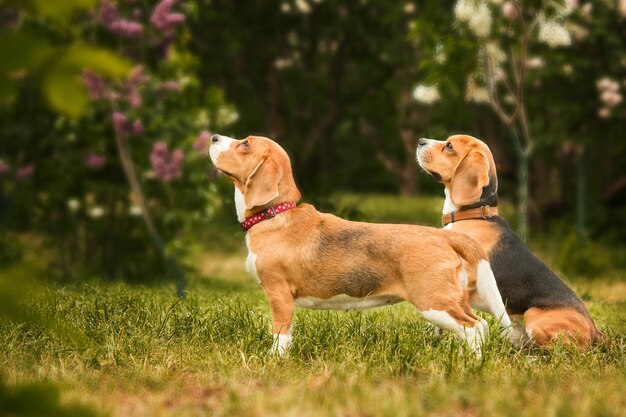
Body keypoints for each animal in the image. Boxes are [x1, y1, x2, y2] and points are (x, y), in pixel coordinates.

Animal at [210, 135, 512, 356]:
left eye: (245, 144)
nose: (213, 137)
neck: (275, 214)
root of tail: (444, 236)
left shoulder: (279, 295)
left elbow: (280, 335)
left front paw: (273, 361)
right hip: (454, 299)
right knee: (481, 326)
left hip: (433, 302)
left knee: (473, 328)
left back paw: (470, 364)